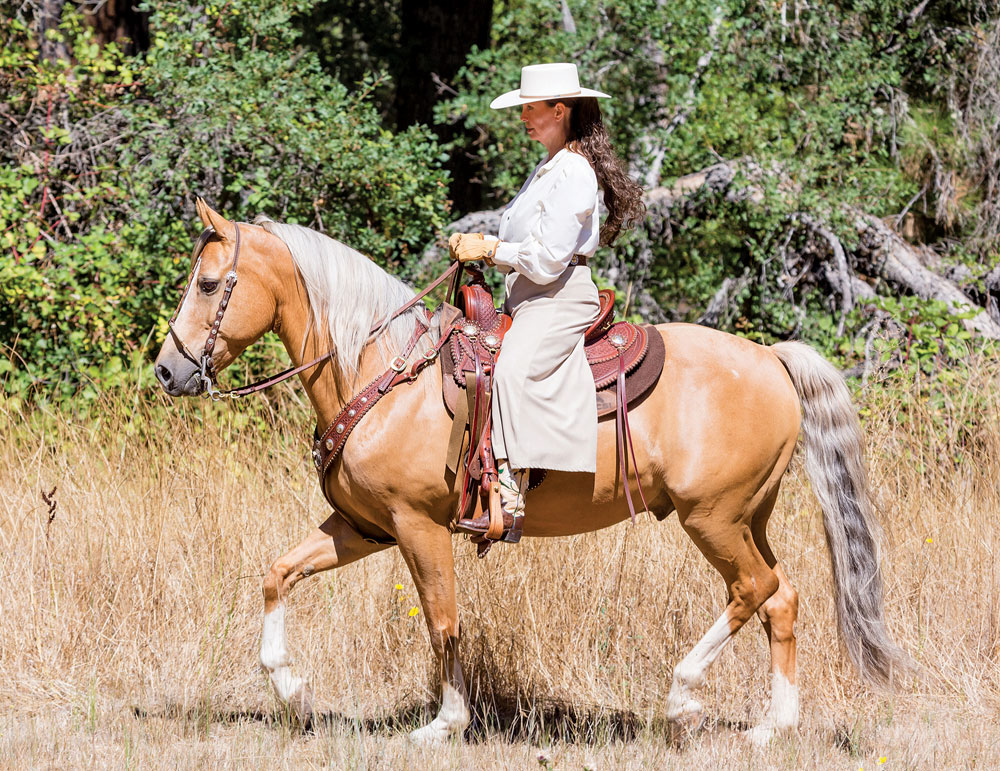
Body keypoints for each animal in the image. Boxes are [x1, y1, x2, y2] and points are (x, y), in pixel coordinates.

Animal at [152, 202, 904, 744]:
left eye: (210, 284)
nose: (167, 369)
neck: (385, 369)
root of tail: (772, 358)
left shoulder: (417, 526)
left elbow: (442, 621)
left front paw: (444, 724)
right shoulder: (363, 526)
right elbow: (278, 573)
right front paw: (292, 690)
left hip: (712, 517)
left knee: (755, 589)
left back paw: (682, 698)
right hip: (750, 516)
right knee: (783, 598)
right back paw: (773, 726)